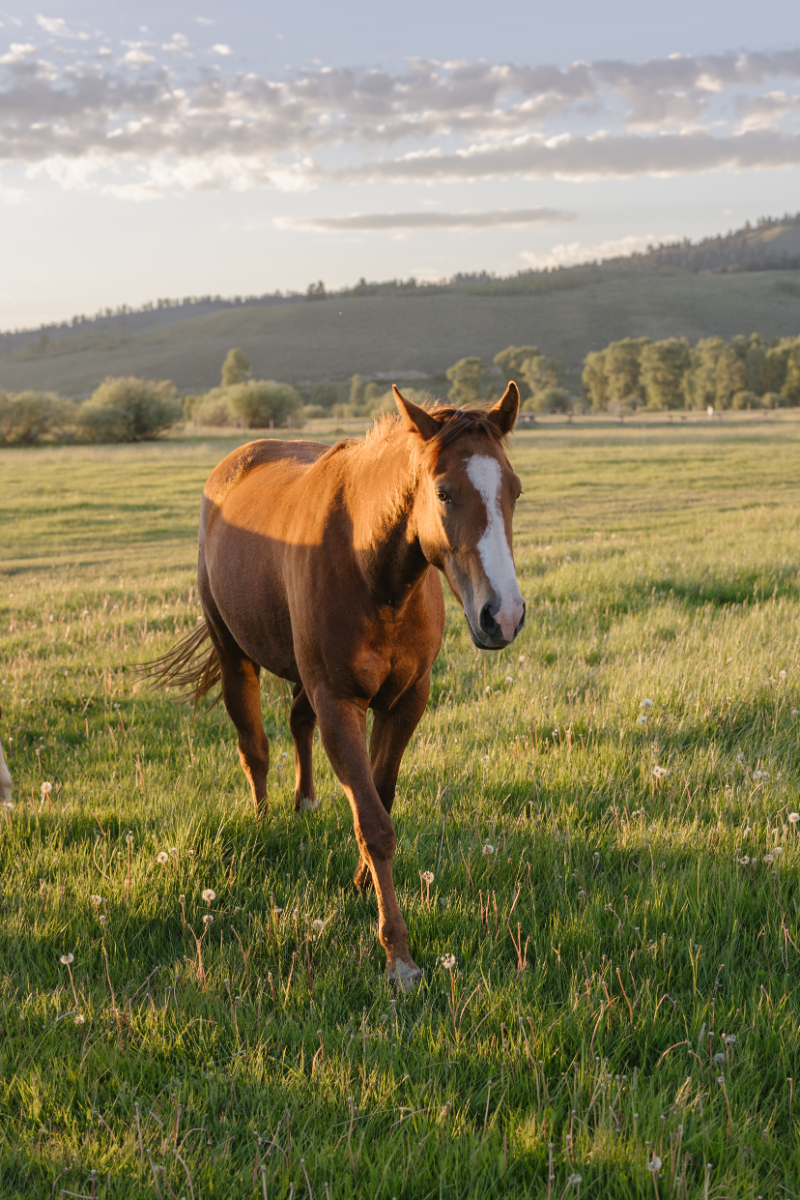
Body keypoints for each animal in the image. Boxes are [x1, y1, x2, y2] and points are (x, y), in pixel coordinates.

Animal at [146, 384, 526, 989]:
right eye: (443, 492)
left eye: (514, 490)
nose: (503, 616)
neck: (372, 568)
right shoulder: (340, 703)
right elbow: (374, 823)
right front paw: (398, 955)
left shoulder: (406, 701)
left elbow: (380, 797)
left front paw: (362, 882)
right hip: (235, 656)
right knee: (254, 747)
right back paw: (266, 821)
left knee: (298, 724)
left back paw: (305, 804)